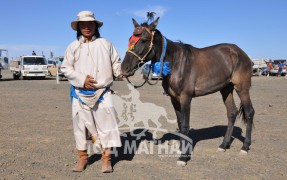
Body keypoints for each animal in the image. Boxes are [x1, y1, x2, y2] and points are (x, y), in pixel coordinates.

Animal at [120, 16, 255, 166]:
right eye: (130, 39)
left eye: (143, 40)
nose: (124, 68)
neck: (176, 63)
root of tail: (241, 53)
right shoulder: (174, 99)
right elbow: (180, 123)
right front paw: (181, 148)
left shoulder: (186, 97)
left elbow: (185, 125)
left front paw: (183, 157)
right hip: (226, 89)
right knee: (231, 113)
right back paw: (224, 145)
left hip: (242, 88)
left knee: (249, 112)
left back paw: (245, 146)